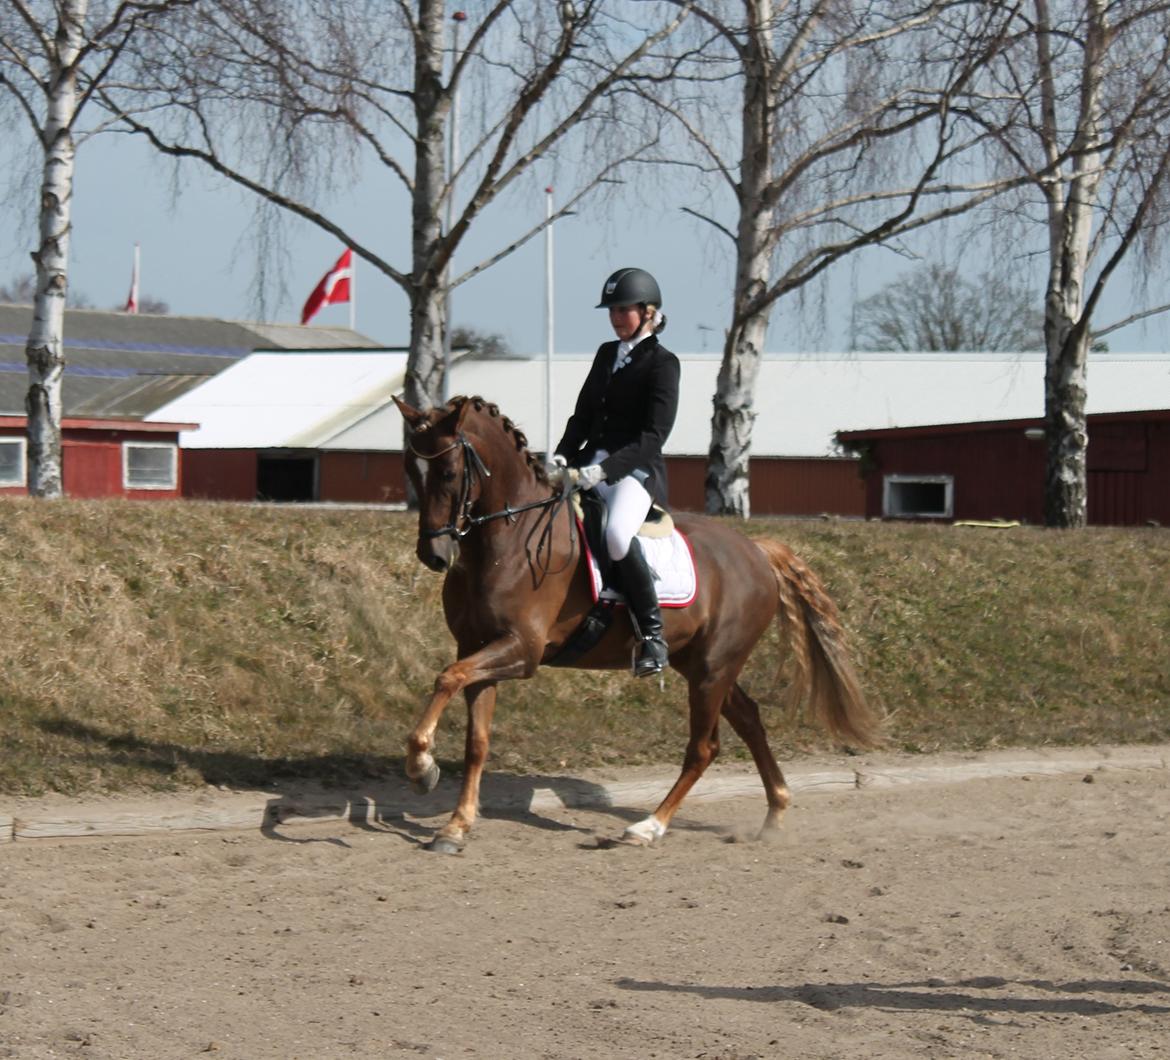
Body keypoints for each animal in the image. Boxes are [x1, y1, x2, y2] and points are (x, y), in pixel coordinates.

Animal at [394, 393, 880, 853]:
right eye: (411, 472)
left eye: (449, 473)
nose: (434, 555)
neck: (505, 541)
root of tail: (756, 550)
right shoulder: (478, 647)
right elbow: (475, 737)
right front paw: (455, 826)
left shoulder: (521, 650)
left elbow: (445, 678)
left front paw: (421, 769)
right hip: (700, 663)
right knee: (749, 718)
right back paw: (775, 813)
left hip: (713, 667)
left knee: (704, 747)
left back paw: (648, 827)